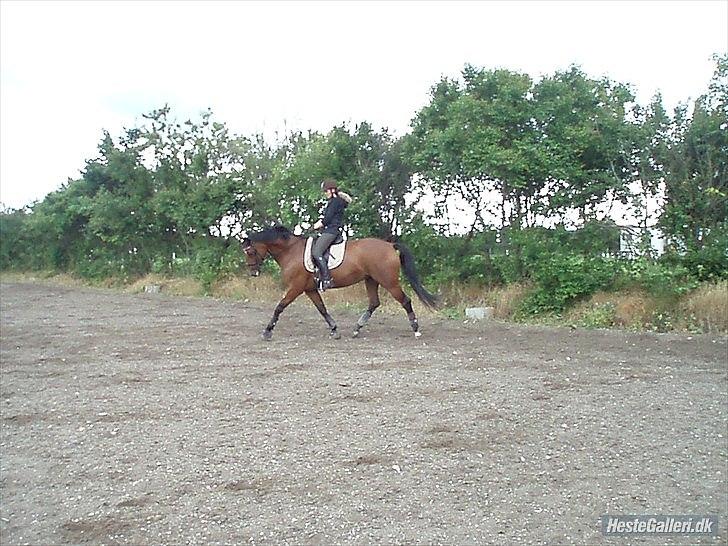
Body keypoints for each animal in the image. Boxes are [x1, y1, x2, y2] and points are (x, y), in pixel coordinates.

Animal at [243, 223, 438, 338]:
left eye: (250, 251)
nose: (253, 272)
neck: (291, 251)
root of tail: (390, 245)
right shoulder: (309, 289)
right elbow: (322, 309)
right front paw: (334, 329)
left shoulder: (296, 287)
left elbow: (280, 307)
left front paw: (267, 331)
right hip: (371, 280)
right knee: (374, 303)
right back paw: (357, 329)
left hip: (389, 282)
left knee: (405, 300)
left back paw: (416, 329)